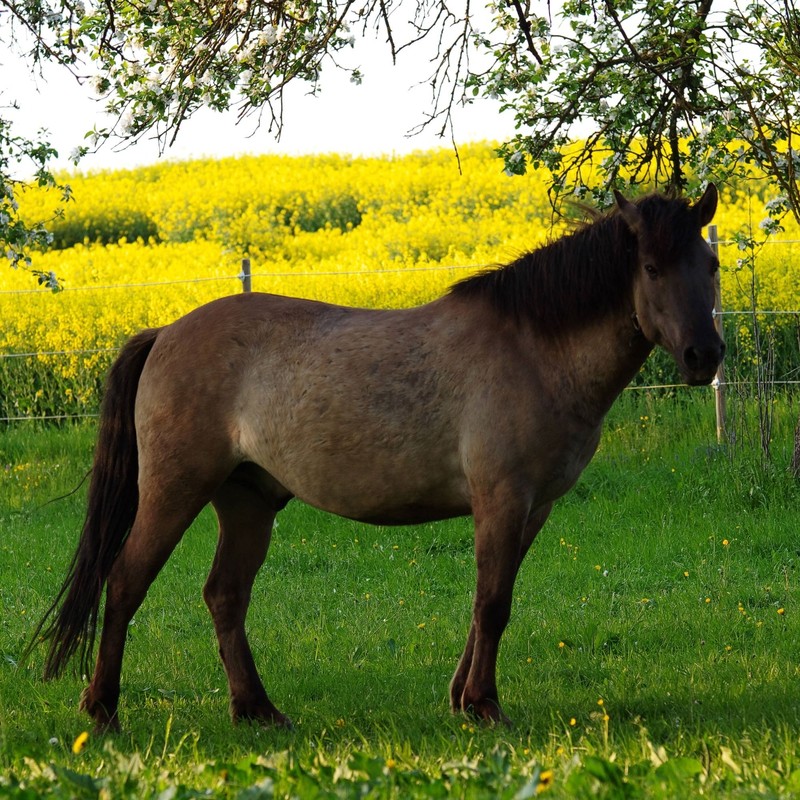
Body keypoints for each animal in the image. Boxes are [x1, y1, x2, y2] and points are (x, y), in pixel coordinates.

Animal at [29, 183, 724, 732]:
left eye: (712, 263)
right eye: (652, 268)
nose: (705, 356)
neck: (534, 349)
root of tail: (165, 333)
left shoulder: (533, 509)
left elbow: (488, 603)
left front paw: (461, 699)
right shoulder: (502, 499)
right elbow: (492, 604)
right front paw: (485, 706)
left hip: (247, 500)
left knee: (225, 596)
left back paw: (257, 711)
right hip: (176, 489)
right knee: (126, 580)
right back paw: (103, 709)